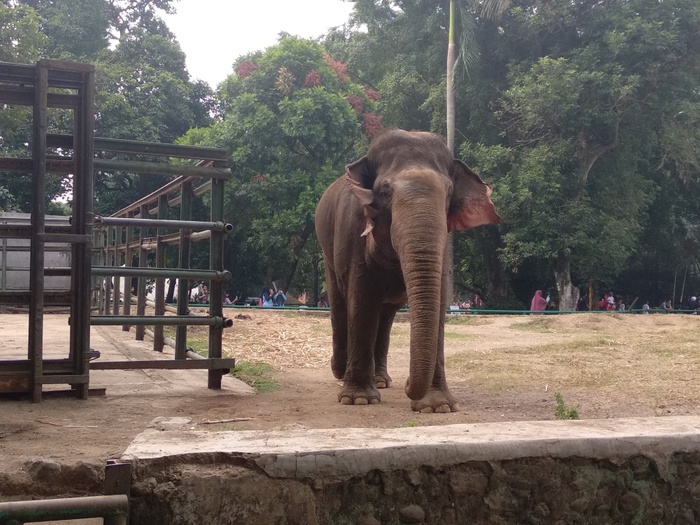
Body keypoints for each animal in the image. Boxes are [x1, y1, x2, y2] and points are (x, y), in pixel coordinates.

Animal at [315, 129, 500, 412]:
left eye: (448, 192)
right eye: (384, 191)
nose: (408, 383)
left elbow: (440, 300)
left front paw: (438, 406)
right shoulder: (352, 231)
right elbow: (362, 300)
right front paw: (358, 399)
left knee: (386, 315)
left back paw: (381, 380)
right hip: (328, 251)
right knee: (340, 303)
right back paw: (342, 373)